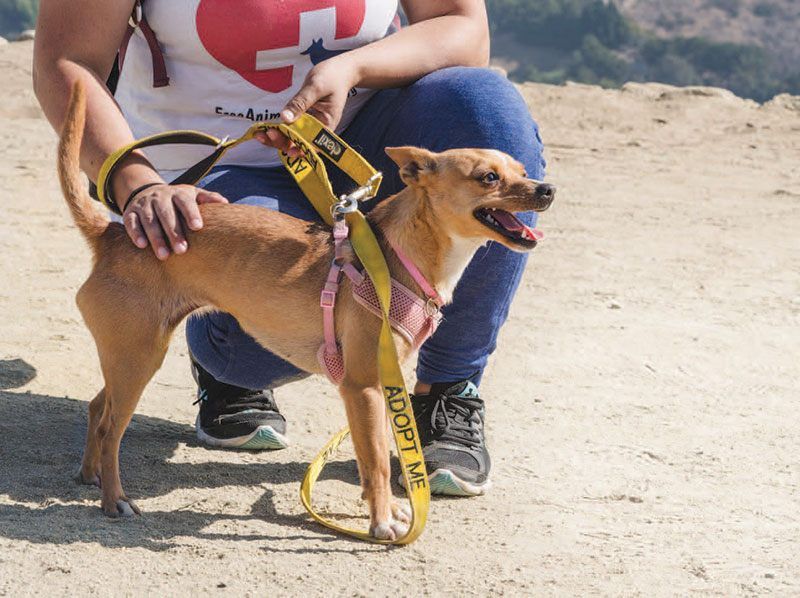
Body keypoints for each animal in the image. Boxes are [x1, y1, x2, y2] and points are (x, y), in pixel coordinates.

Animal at [57, 83, 556, 540]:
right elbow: (377, 461)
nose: (547, 189)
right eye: (488, 178)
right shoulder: (363, 387)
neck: (399, 256)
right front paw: (381, 521)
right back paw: (115, 500)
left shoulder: (381, 387)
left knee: (97, 407)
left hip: (130, 358)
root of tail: (114, 234)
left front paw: (389, 510)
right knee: (110, 429)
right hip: (141, 358)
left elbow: (372, 453)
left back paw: (90, 475)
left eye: (523, 170)